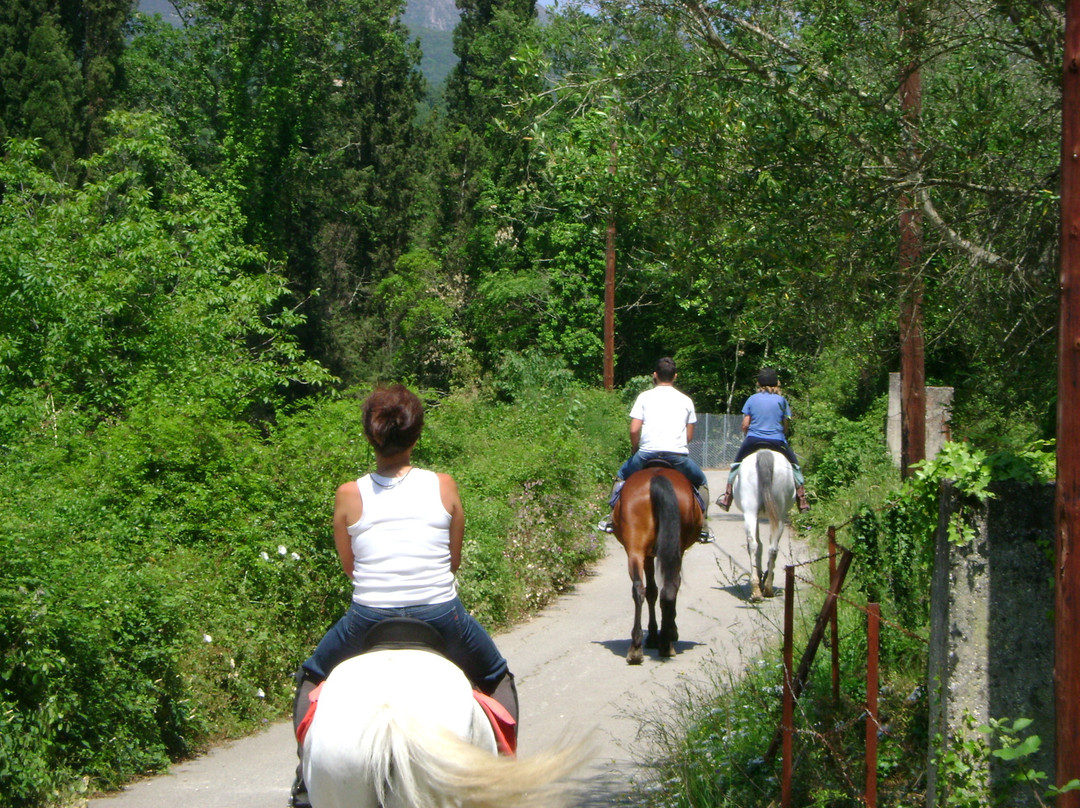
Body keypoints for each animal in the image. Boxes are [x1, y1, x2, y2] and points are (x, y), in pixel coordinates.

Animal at [613, 466, 704, 661]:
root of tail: (657, 476)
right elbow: (657, 591)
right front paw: (664, 632)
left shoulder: (646, 555)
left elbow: (651, 591)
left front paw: (655, 634)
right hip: (673, 550)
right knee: (669, 588)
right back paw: (665, 642)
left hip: (635, 549)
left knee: (639, 588)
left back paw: (636, 647)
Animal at [734, 447, 794, 600]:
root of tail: (765, 453)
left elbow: (759, 545)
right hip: (777, 514)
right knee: (770, 548)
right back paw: (765, 588)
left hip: (750, 512)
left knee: (754, 545)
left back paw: (757, 589)